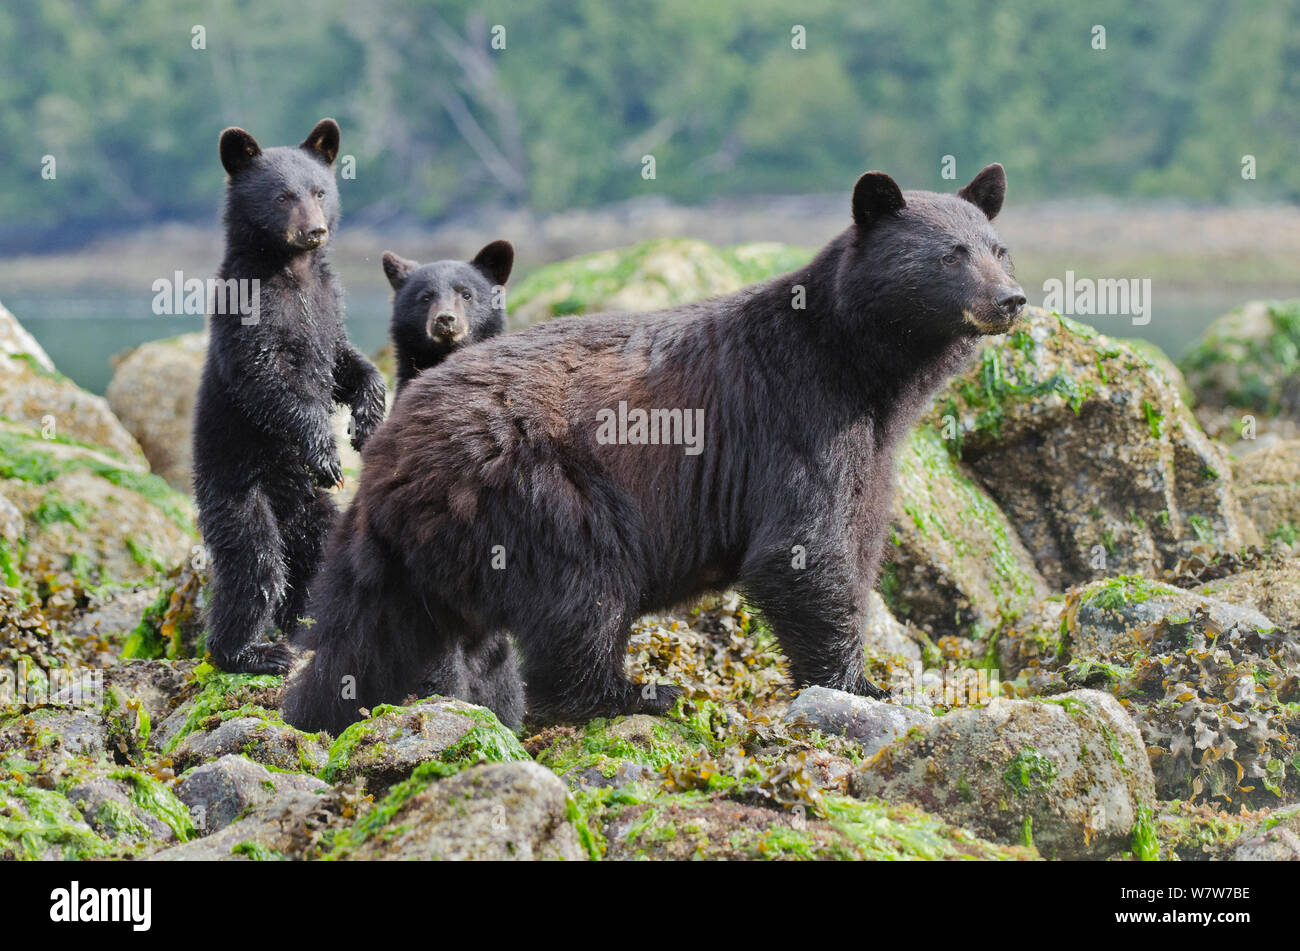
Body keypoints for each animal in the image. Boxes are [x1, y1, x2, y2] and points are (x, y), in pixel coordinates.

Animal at [192, 118, 384, 675]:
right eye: (282, 196)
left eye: (320, 191)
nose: (314, 230)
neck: (291, 270)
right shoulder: (248, 310)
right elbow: (268, 382)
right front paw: (325, 448)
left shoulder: (328, 307)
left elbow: (345, 361)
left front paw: (367, 419)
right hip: (235, 489)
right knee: (254, 564)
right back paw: (250, 650)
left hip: (314, 508)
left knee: (319, 553)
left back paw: (308, 627)